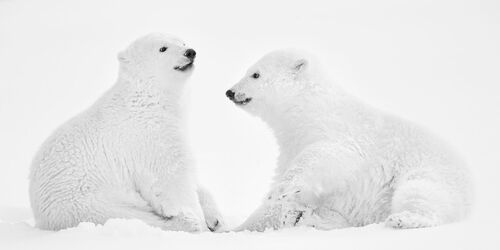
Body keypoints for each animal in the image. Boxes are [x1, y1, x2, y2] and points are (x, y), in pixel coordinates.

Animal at [27, 33, 223, 232]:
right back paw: (184, 223)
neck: (148, 98)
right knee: (127, 214)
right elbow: (173, 178)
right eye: (162, 48)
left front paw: (215, 218)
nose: (190, 52)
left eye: (182, 42)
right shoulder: (149, 135)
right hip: (84, 200)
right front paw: (198, 222)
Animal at [227, 48, 472, 230]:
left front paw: (281, 190)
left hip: (431, 172)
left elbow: (330, 155)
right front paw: (242, 226)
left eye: (255, 74)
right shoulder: (291, 145)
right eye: (249, 70)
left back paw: (404, 219)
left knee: (421, 192)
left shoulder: (339, 131)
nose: (230, 92)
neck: (309, 109)